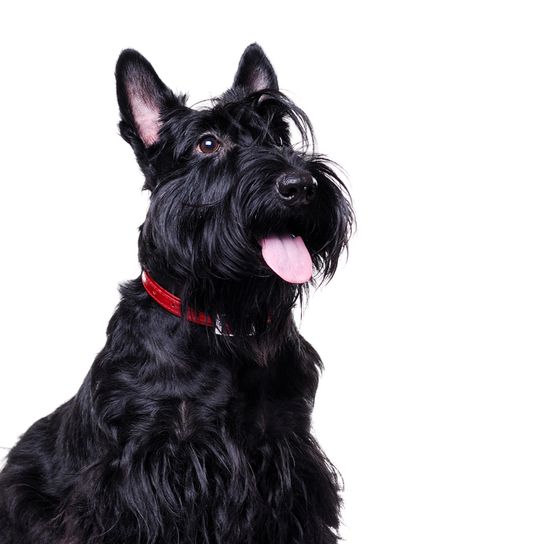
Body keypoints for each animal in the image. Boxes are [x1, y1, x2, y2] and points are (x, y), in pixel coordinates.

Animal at [0, 43, 352, 544]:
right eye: (207, 144)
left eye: (280, 136)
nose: (300, 186)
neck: (221, 325)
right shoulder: (141, 473)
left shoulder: (288, 456)